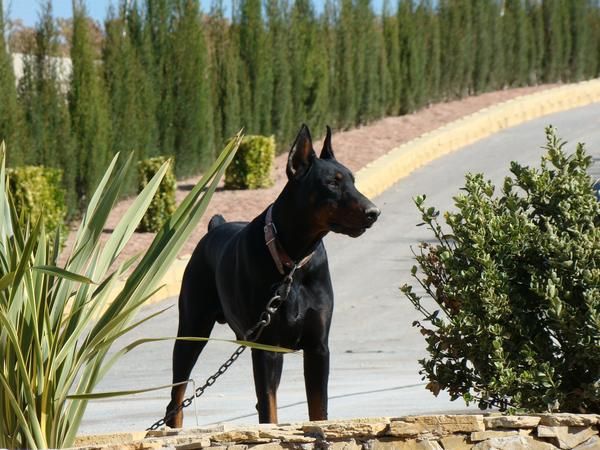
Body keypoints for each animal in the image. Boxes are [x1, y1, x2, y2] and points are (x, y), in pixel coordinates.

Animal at [165, 125, 380, 428]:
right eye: (332, 183)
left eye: (353, 180)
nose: (374, 212)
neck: (294, 263)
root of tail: (214, 226)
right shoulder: (265, 347)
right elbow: (270, 410)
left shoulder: (318, 347)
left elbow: (318, 410)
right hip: (192, 329)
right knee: (176, 398)